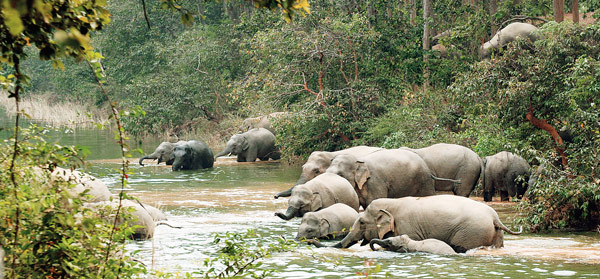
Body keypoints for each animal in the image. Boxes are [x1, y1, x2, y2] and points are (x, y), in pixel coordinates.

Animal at [316, 195, 524, 254]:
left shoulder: (409, 228)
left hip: (471, 232)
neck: (392, 203)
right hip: (495, 234)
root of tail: (495, 218)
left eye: (361, 222)